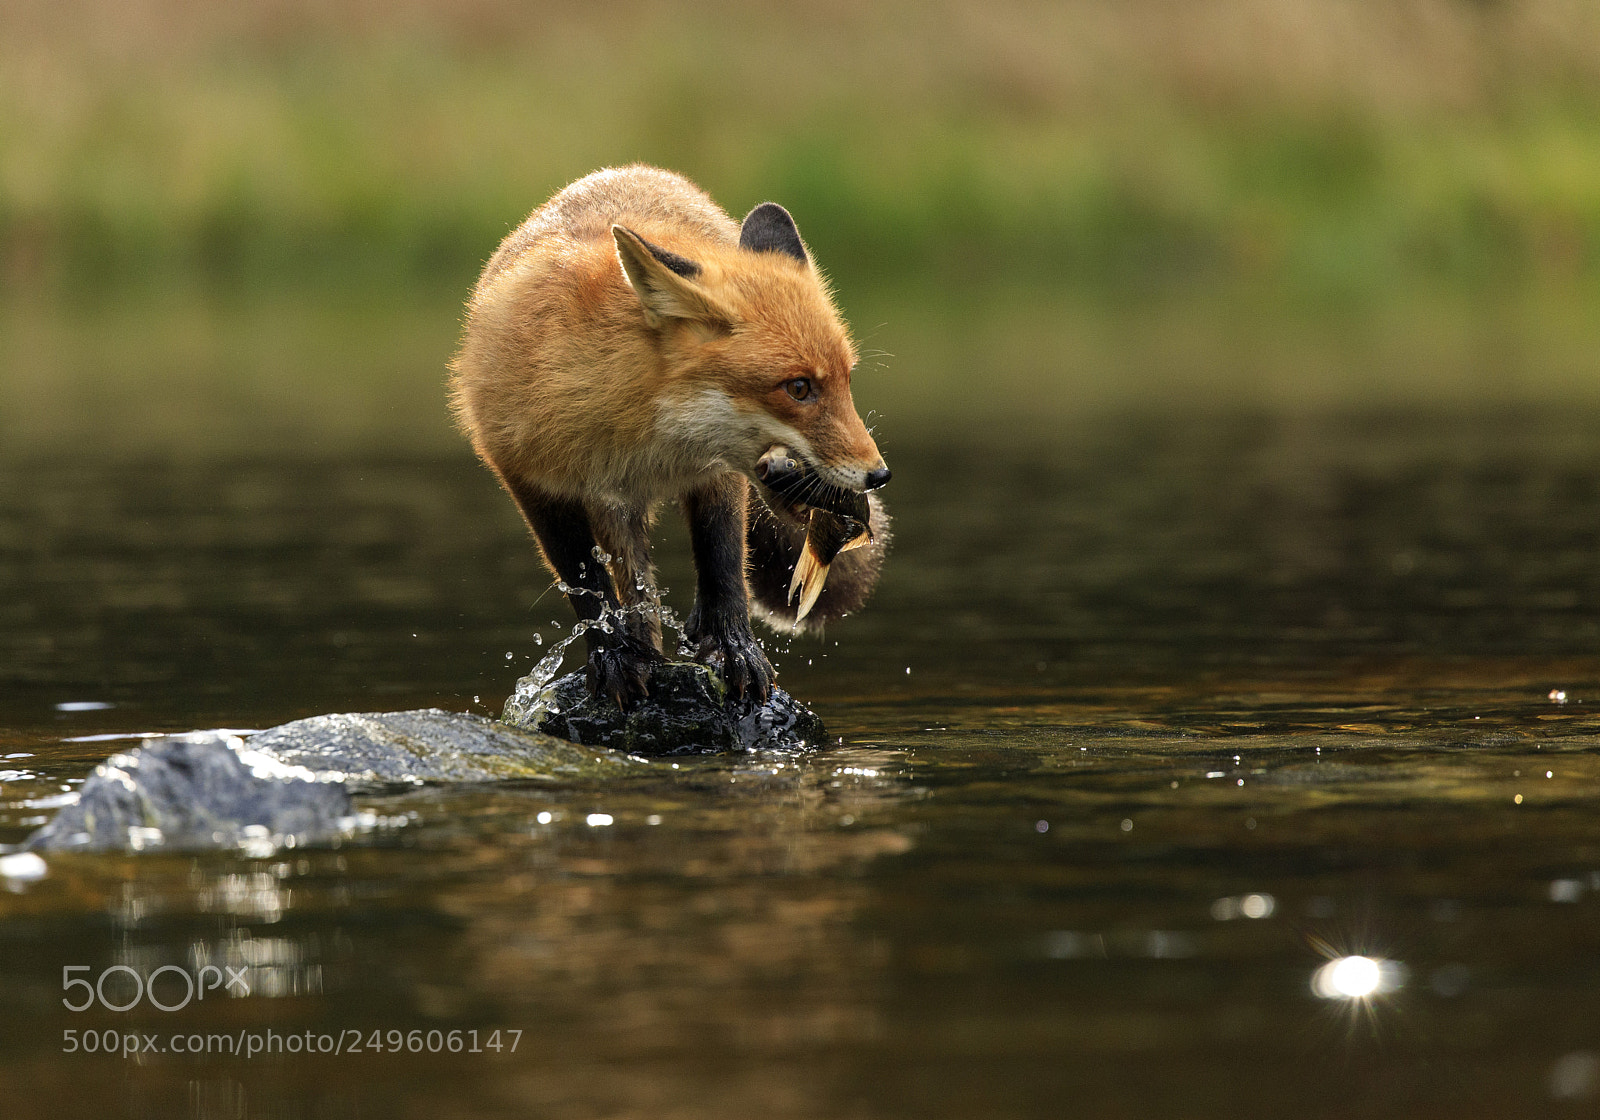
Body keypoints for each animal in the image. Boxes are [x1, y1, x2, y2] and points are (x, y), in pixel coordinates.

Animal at [449, 165, 891, 709]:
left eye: (847, 380)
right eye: (799, 388)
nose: (879, 475)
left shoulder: (717, 474)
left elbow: (723, 562)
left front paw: (733, 647)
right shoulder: (528, 476)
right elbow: (585, 582)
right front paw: (613, 657)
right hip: (610, 508)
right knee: (634, 588)